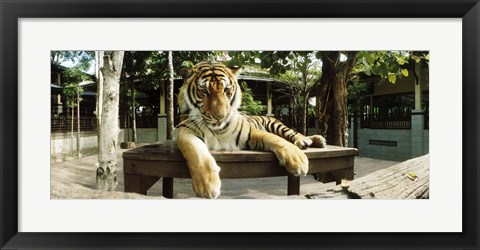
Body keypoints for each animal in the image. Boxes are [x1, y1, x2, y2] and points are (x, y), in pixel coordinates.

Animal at [176, 61, 326, 198]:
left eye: (226, 90)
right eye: (203, 91)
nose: (220, 117)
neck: (218, 130)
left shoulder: (251, 132)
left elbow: (277, 140)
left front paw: (298, 160)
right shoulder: (187, 131)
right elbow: (197, 154)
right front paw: (207, 186)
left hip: (277, 125)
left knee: (293, 134)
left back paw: (309, 140)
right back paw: (317, 140)